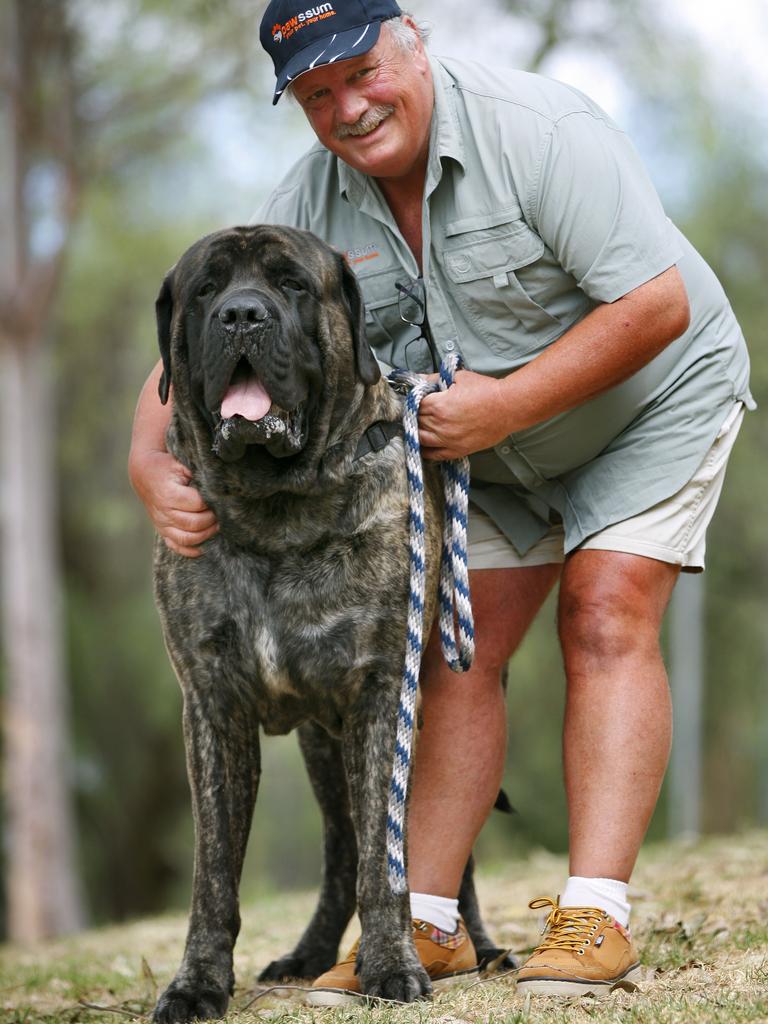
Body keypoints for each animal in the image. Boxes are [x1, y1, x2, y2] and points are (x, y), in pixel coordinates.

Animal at [151, 228, 512, 1019]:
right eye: (206, 288)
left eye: (291, 284)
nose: (241, 316)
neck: (276, 510)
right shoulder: (211, 706)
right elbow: (213, 874)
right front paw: (197, 984)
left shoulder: (382, 694)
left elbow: (388, 856)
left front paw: (391, 968)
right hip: (322, 745)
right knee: (340, 850)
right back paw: (310, 957)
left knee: (442, 850)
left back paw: (479, 947)